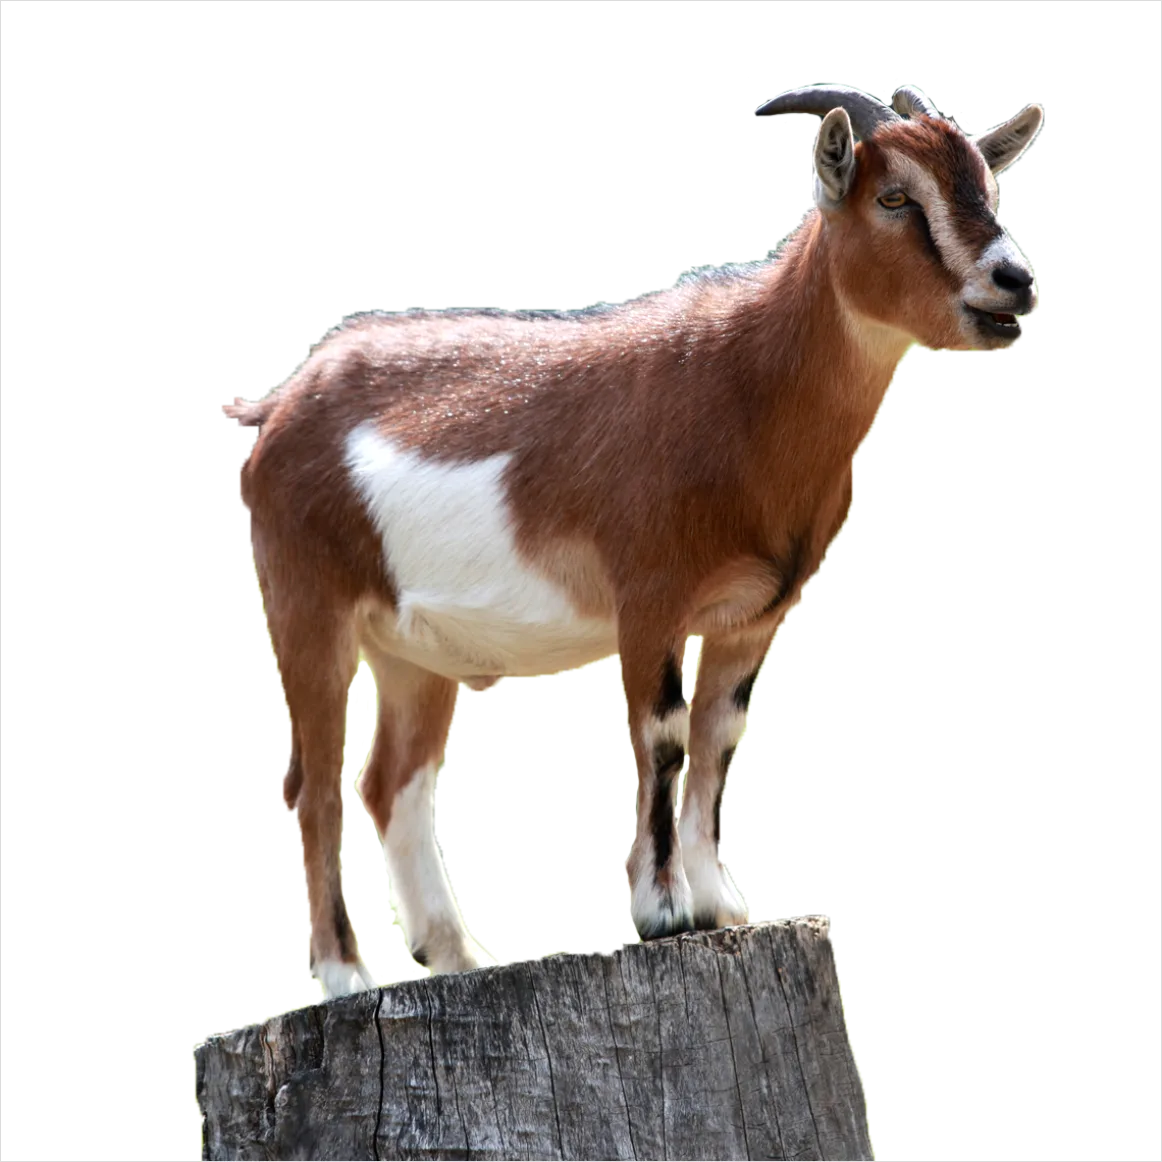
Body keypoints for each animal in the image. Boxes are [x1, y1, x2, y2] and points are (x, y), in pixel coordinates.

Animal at [220, 82, 1043, 999]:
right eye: (895, 198)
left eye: (989, 187)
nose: (1013, 281)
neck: (745, 385)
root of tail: (276, 408)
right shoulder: (650, 594)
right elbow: (663, 733)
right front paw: (662, 912)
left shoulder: (754, 614)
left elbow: (719, 735)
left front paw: (722, 904)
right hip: (307, 603)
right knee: (315, 782)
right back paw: (345, 975)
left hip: (412, 650)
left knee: (391, 779)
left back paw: (460, 956)